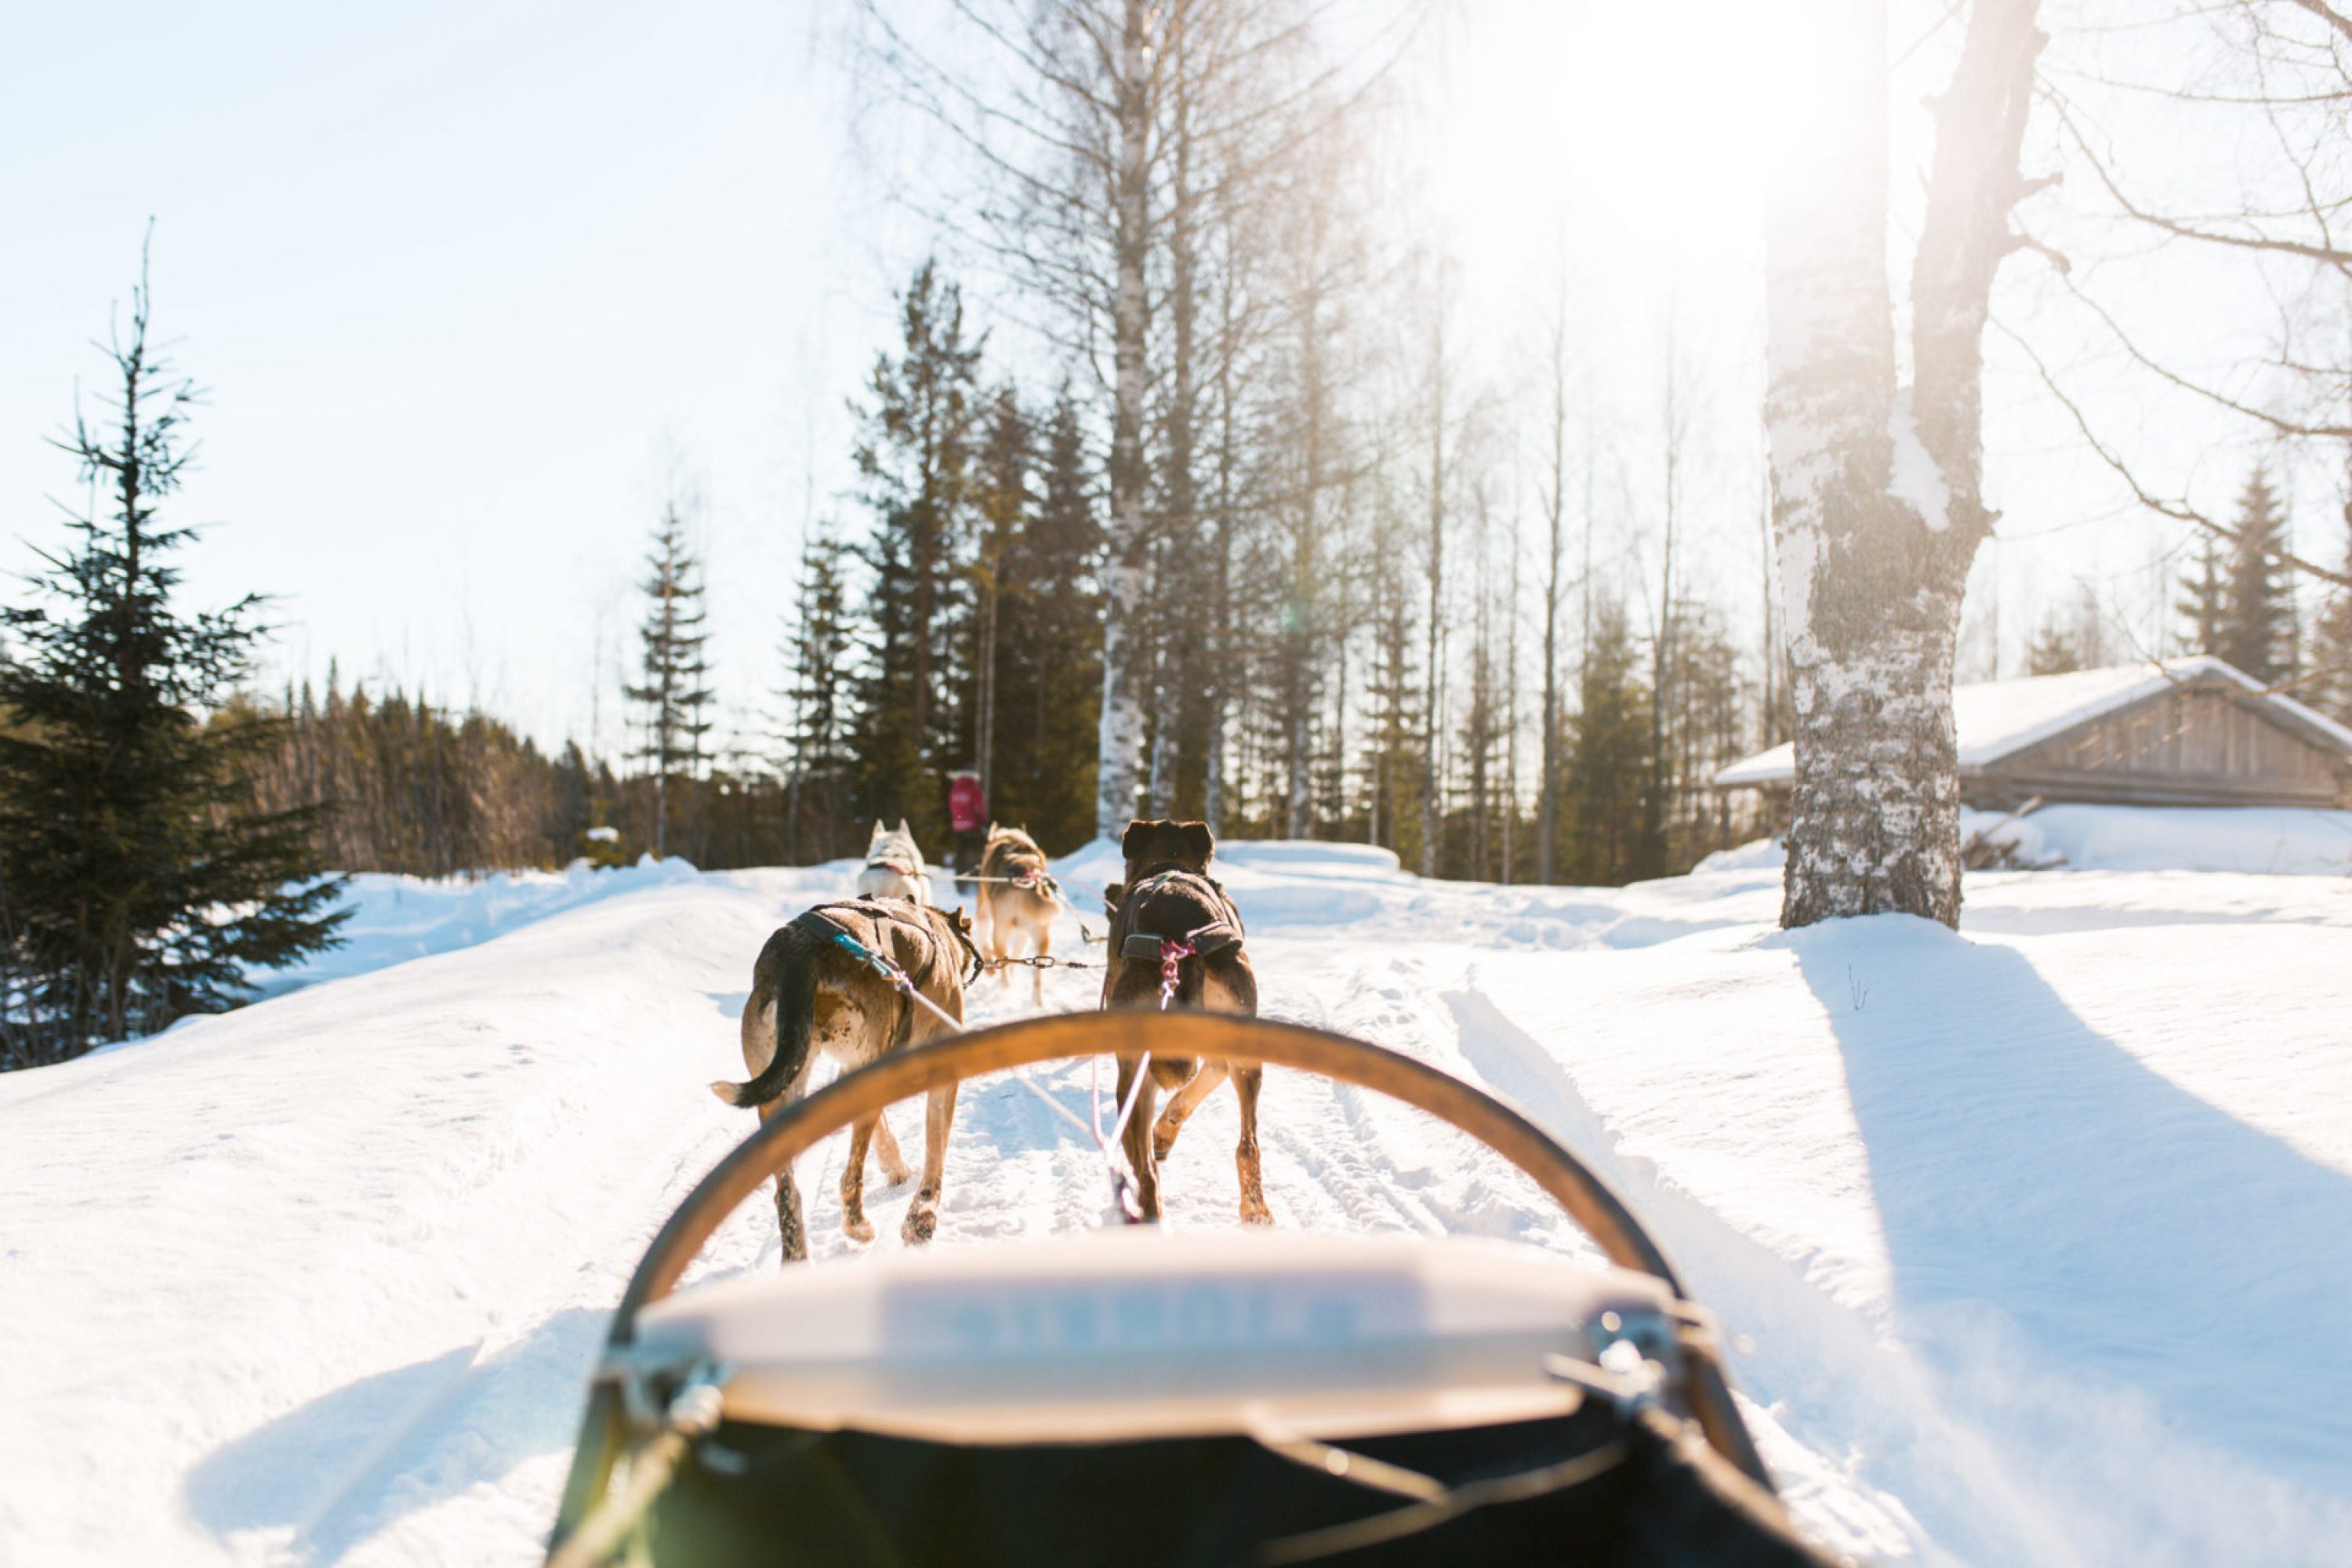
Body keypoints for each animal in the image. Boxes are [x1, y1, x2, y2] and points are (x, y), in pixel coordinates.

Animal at [710, 902, 978, 1260]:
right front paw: (923, 1215)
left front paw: (897, 1171)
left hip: (786, 1089)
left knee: (787, 1195)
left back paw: (797, 1257)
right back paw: (859, 1227)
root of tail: (800, 957)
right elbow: (935, 1151)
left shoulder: (854, 1069)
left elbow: (886, 1133)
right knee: (850, 1178)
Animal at [969, 827, 1063, 1011]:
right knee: (1036, 974)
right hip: (1041, 939)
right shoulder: (1023, 934)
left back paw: (1005, 990)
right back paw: (1037, 1003)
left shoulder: (984, 911)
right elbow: (1017, 958)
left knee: (1003, 962)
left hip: (1000, 931)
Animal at [1101, 822, 1270, 1222]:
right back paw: (1255, 1210)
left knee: (1144, 1167)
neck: (1170, 860)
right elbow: (1192, 1090)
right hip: (1246, 1052)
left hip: (1132, 1075)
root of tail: (1179, 936)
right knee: (1248, 1145)